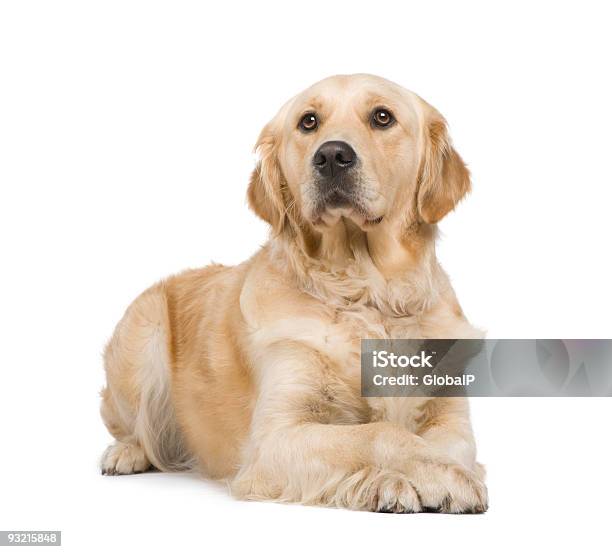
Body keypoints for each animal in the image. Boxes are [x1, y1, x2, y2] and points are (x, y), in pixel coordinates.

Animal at [100, 73, 488, 512]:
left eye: (382, 117)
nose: (332, 155)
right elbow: (378, 433)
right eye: (308, 122)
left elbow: (448, 446)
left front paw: (445, 473)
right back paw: (125, 453)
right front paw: (423, 479)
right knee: (130, 428)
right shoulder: (275, 438)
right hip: (142, 334)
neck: (366, 293)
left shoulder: (451, 416)